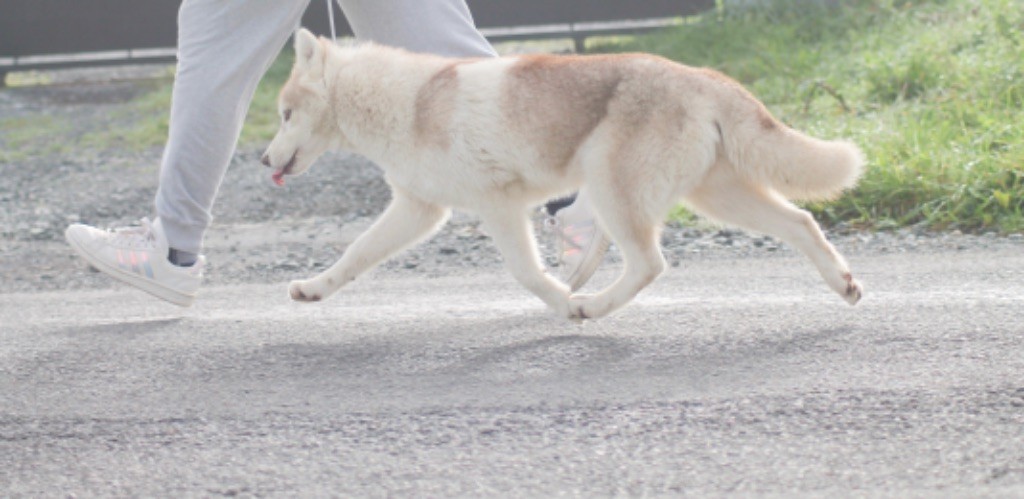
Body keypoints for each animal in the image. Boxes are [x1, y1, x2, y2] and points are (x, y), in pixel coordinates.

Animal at [262, 29, 864, 319]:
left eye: (285, 114)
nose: (265, 160)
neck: (406, 103)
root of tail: (703, 76)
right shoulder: (418, 209)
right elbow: (354, 255)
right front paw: (313, 290)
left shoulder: (500, 207)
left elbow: (528, 275)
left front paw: (563, 302)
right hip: (718, 197)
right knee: (802, 223)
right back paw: (844, 284)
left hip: (614, 188)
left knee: (649, 263)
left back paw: (592, 305)